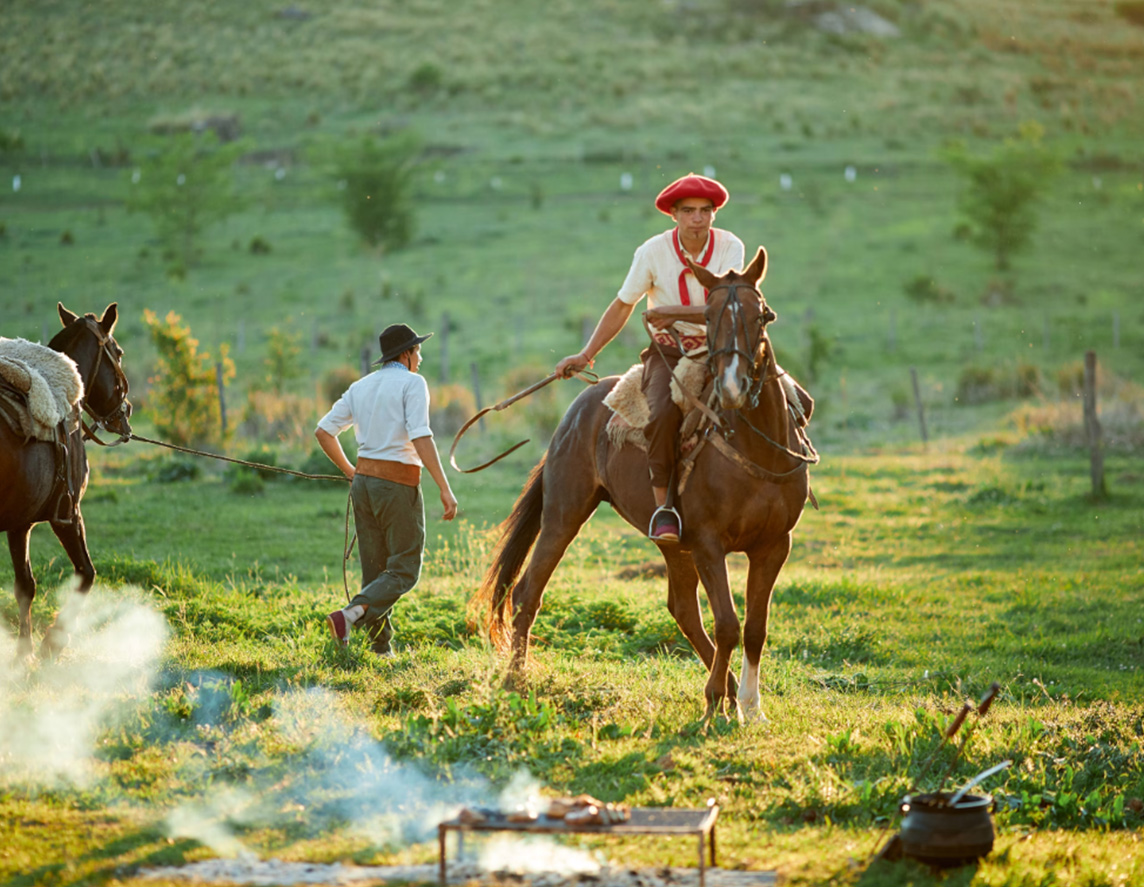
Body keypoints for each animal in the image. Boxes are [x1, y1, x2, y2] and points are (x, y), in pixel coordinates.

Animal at [1, 304, 131, 659]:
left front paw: (24, 651)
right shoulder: (68, 515)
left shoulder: (19, 523)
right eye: (118, 352)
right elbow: (86, 573)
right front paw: (52, 643)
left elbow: (24, 585)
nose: (126, 412)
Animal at [469, 248, 819, 723]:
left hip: (672, 543)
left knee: (684, 610)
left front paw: (749, 706)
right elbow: (728, 624)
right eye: (707, 317)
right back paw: (515, 681)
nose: (731, 387)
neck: (754, 448)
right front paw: (716, 704)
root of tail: (579, 406)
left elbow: (754, 627)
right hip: (564, 514)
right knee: (527, 593)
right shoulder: (708, 543)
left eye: (760, 315)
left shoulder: (773, 545)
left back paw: (729, 688)